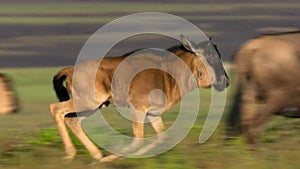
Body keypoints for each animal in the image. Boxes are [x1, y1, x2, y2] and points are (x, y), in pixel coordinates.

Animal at [49, 34, 230, 161]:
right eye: (211, 56)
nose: (225, 81)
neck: (167, 72)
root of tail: (70, 70)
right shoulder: (139, 109)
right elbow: (138, 140)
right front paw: (111, 158)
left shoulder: (153, 114)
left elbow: (162, 138)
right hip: (87, 103)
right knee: (56, 109)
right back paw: (72, 154)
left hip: (93, 107)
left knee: (72, 120)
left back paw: (95, 156)